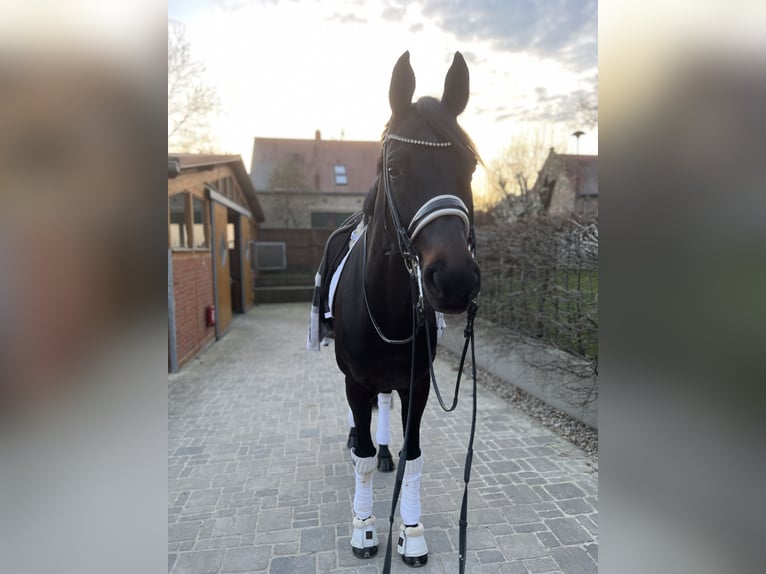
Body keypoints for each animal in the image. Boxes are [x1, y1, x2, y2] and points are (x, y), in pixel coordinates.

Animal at [331, 51, 480, 567]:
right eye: (394, 170)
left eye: (470, 167)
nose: (454, 279)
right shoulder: (356, 381)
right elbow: (357, 461)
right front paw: (364, 529)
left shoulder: (415, 383)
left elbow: (414, 456)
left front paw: (411, 532)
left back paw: (382, 450)